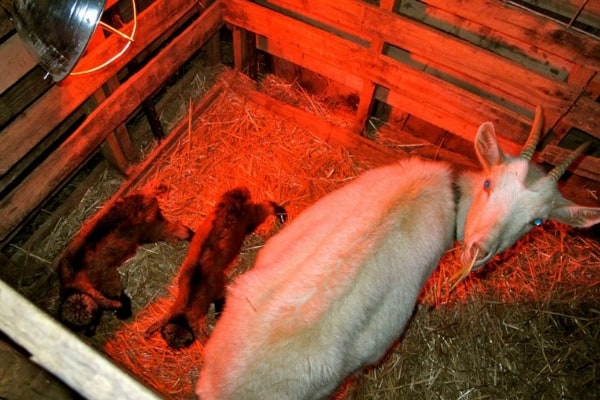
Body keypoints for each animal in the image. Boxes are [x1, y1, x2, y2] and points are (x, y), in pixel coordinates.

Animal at [57, 193, 191, 334]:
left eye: (94, 318)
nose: (90, 334)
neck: (74, 279)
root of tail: (145, 197)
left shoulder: (106, 275)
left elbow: (115, 290)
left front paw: (124, 308)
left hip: (149, 229)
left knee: (175, 229)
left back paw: (191, 236)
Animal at [145, 188, 286, 346]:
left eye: (184, 343)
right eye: (168, 337)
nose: (171, 346)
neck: (189, 300)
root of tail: (236, 197)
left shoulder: (218, 289)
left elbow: (220, 301)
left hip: (250, 220)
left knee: (265, 207)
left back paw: (280, 213)